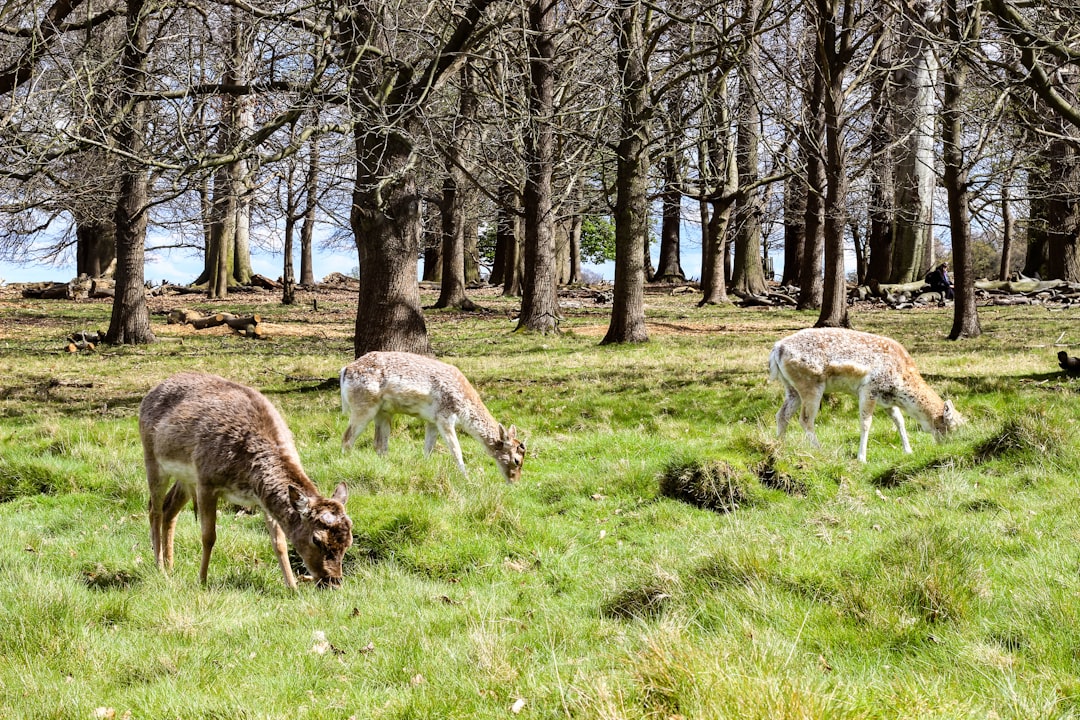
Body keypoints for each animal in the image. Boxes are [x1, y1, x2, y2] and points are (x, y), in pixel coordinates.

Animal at [139, 375, 354, 587]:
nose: (332, 581)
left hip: (184, 478)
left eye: (349, 541)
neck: (247, 477)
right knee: (154, 509)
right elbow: (208, 536)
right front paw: (202, 581)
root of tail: (149, 394)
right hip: (152, 459)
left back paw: (170, 566)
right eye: (316, 539)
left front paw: (292, 587)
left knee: (169, 508)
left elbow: (279, 543)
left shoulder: (262, 499)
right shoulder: (206, 481)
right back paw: (160, 567)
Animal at [336, 349, 522, 481]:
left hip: (383, 412)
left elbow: (428, 450)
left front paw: (424, 468)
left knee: (379, 444)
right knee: (347, 438)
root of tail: (345, 370)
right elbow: (456, 451)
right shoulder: (444, 417)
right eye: (517, 460)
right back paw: (346, 463)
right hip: (363, 406)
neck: (464, 407)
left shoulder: (432, 421)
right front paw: (467, 480)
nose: (514, 482)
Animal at [768, 325, 963, 462]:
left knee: (782, 415)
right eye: (952, 427)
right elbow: (866, 423)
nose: (949, 447)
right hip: (810, 384)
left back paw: (779, 446)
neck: (901, 384)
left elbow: (899, 420)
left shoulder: (887, 400)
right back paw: (820, 450)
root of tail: (777, 348)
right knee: (805, 419)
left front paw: (908, 450)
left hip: (791, 388)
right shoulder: (869, 389)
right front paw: (862, 458)